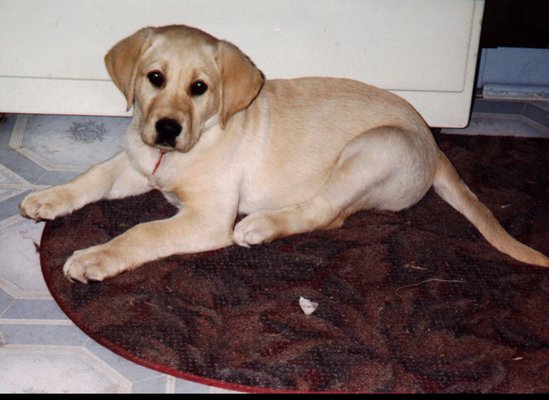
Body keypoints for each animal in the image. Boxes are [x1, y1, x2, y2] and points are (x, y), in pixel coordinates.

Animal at [20, 25, 548, 282]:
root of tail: (434, 144)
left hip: (374, 148)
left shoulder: (209, 217)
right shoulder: (137, 162)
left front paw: (95, 257)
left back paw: (259, 226)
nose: (167, 129)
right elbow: (92, 176)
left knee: (325, 214)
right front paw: (49, 197)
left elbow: (144, 231)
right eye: (154, 78)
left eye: (199, 88)